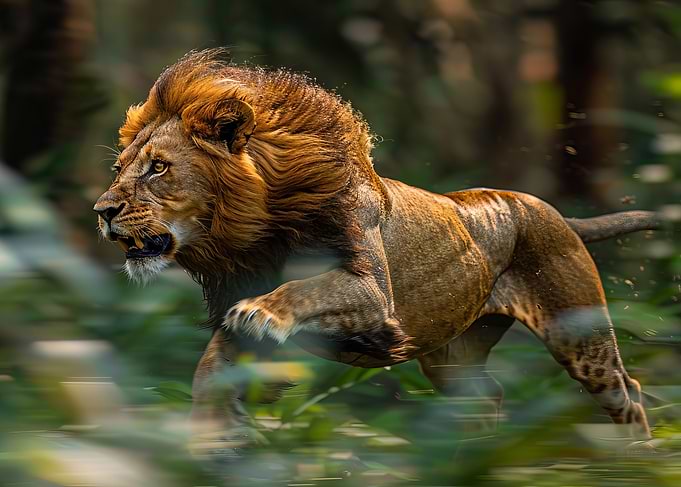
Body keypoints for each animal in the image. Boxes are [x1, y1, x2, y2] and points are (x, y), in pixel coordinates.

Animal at [95, 49, 659, 444]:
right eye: (121, 168)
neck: (253, 233)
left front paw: (264, 312)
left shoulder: (371, 293)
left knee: (625, 391)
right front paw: (212, 446)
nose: (102, 211)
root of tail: (551, 211)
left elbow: (305, 288)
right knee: (487, 395)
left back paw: (636, 458)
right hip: (452, 357)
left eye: (158, 167)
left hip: (578, 333)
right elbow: (209, 376)